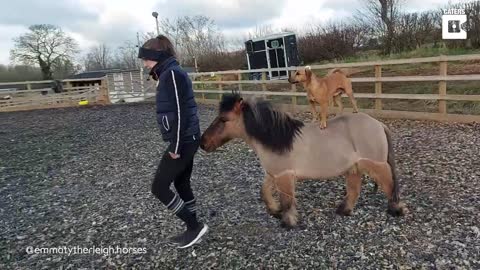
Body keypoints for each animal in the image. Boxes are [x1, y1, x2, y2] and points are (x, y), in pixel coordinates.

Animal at [199, 93, 404, 228]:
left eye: (224, 119)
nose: (203, 143)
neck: (278, 138)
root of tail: (379, 124)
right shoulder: (274, 173)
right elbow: (264, 191)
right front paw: (274, 211)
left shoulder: (284, 176)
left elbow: (287, 201)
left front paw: (287, 222)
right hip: (353, 168)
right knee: (354, 190)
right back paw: (343, 210)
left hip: (375, 164)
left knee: (390, 184)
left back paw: (396, 210)